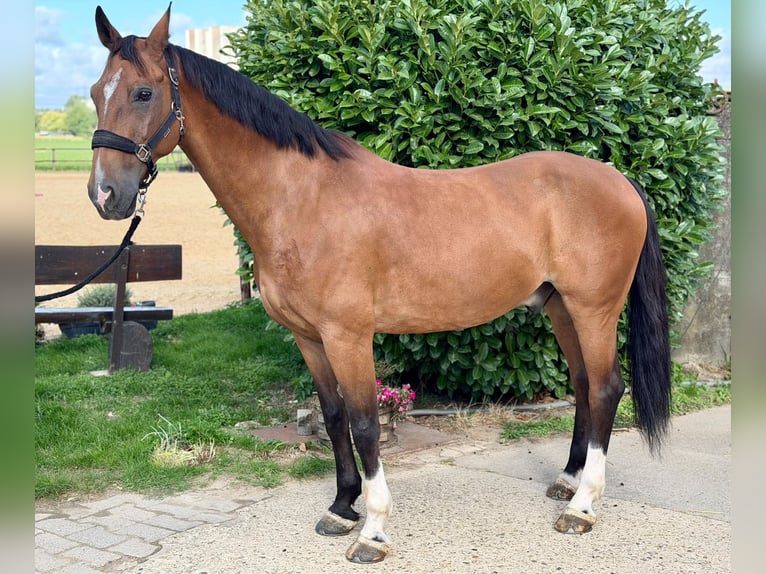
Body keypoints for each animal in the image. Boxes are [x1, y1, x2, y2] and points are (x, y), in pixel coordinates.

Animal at [88, 5, 671, 563]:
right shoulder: (308, 337)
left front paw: (372, 531)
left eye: (143, 92)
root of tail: (618, 178)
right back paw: (568, 482)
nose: (105, 195)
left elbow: (366, 423)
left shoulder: (348, 336)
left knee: (605, 388)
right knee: (583, 386)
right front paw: (341, 507)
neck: (301, 199)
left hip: (594, 309)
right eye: (96, 93)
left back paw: (582, 507)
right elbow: (333, 416)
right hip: (561, 308)